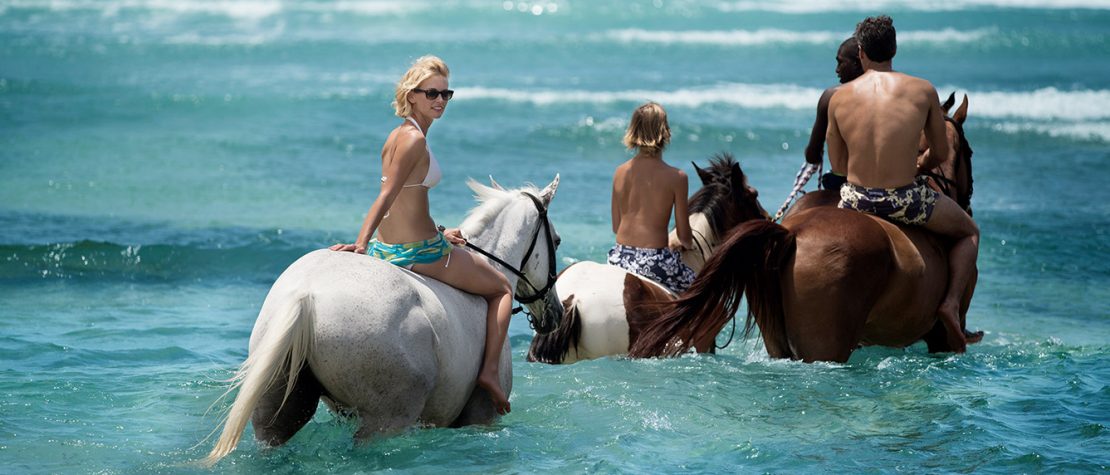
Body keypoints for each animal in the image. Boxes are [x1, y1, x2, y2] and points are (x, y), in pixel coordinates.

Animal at [203, 176, 559, 466]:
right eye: (555, 241)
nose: (553, 313)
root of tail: (305, 296)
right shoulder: (482, 416)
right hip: (386, 420)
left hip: (277, 410)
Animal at [630, 93, 985, 364]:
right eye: (970, 151)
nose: (967, 200)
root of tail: (791, 234)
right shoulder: (944, 335)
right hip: (826, 345)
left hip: (779, 340)